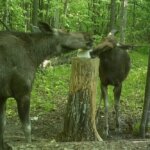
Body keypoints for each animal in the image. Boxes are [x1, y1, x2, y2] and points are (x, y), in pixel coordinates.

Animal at [0, 21, 92, 149]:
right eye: (67, 30)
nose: (89, 37)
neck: (35, 55)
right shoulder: (23, 93)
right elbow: (27, 128)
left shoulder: (3, 96)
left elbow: (2, 125)